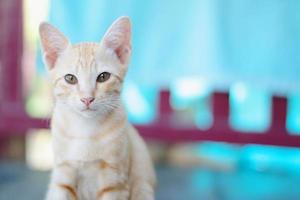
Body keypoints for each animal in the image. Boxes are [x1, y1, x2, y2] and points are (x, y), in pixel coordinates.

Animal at [39, 17, 156, 200]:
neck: (85, 130)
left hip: (143, 185)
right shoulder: (63, 176)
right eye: (70, 78)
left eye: (103, 76)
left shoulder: (115, 181)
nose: (87, 98)